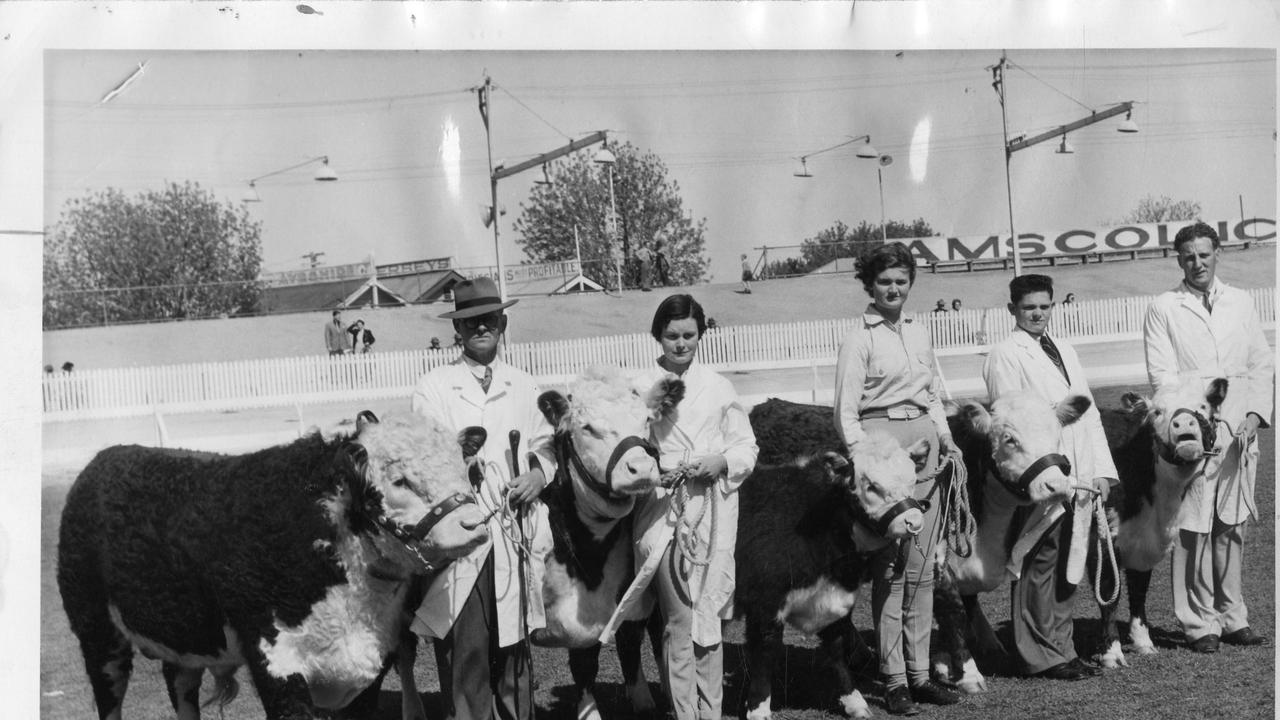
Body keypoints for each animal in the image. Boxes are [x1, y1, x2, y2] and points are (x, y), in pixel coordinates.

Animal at [55, 409, 486, 717]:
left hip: (184, 636)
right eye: (399, 480)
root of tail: (106, 457)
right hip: (97, 633)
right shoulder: (276, 660)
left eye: (464, 468)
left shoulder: (368, 664)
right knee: (110, 696)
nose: (474, 524)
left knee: (180, 685)